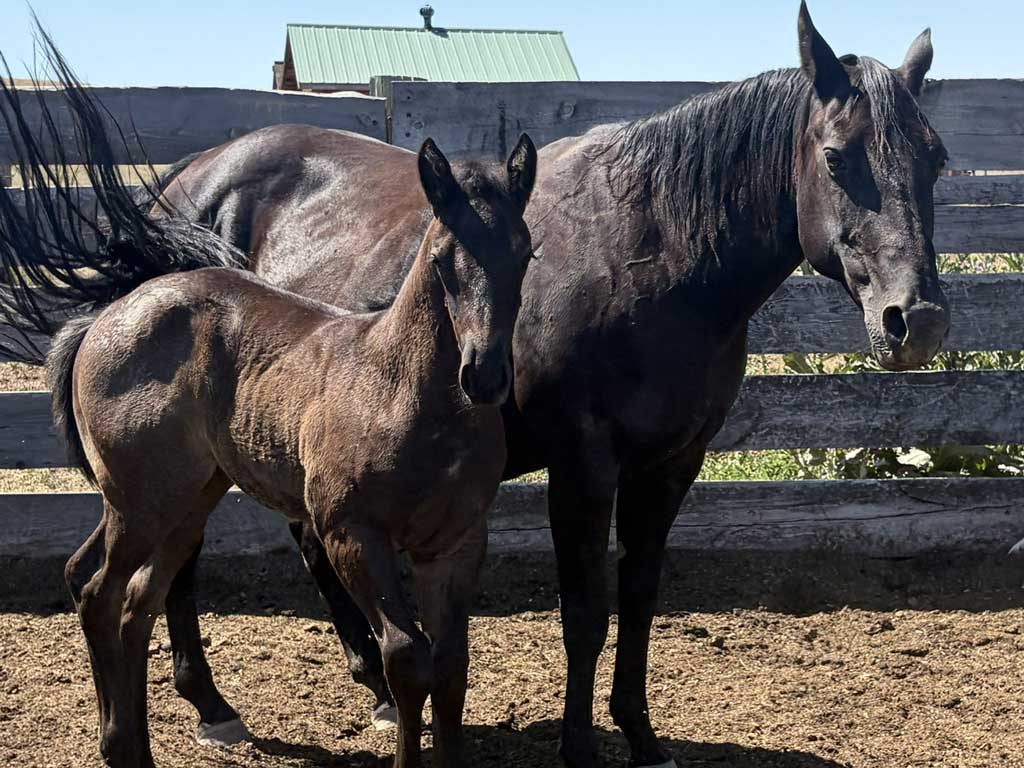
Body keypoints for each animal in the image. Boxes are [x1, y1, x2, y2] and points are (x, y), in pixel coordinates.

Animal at [0, 5, 950, 767]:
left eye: (936, 160)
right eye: (837, 157)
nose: (919, 319)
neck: (651, 256)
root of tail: (184, 184)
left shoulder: (672, 463)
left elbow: (640, 596)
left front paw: (641, 736)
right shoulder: (583, 462)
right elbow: (585, 605)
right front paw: (578, 745)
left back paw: (362, 688)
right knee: (178, 568)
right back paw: (212, 705)